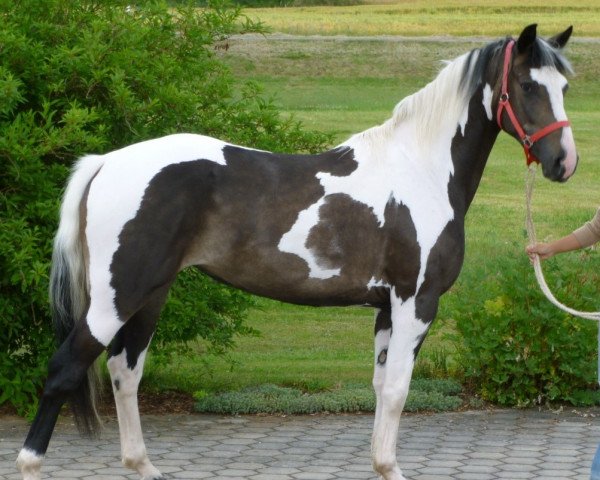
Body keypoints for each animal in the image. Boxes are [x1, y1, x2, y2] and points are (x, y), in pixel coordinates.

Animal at [18, 25, 580, 480]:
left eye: (565, 87)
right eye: (528, 86)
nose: (564, 163)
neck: (420, 169)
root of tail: (107, 160)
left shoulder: (385, 308)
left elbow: (381, 389)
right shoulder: (415, 301)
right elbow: (399, 390)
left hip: (148, 295)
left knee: (124, 371)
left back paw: (141, 464)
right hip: (117, 297)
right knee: (66, 368)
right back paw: (31, 463)